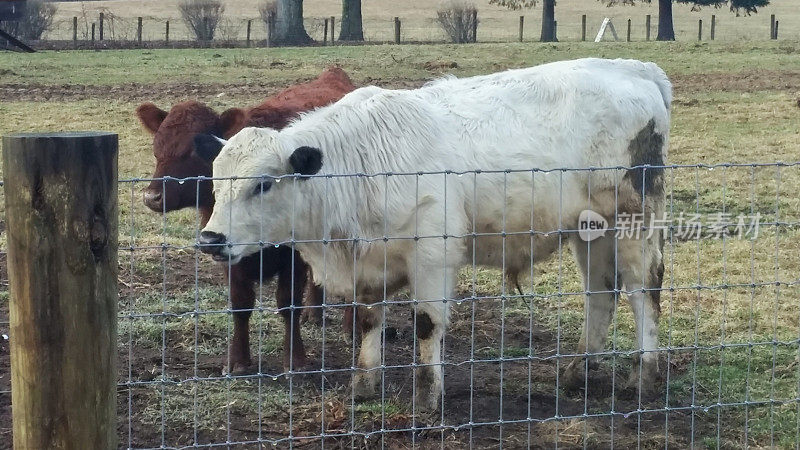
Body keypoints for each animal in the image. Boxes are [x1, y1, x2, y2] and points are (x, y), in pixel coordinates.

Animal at [136, 67, 354, 374]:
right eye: (157, 147)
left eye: (192, 150)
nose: (152, 196)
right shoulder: (225, 250)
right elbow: (240, 303)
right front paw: (238, 360)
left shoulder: (293, 257)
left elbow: (288, 302)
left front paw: (295, 359)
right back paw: (315, 312)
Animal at [198, 58, 668, 414]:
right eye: (215, 183)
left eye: (262, 184)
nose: (210, 239)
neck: (367, 162)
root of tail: (635, 69)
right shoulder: (367, 264)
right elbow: (368, 323)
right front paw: (363, 385)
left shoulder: (432, 258)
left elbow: (426, 325)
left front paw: (426, 396)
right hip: (591, 232)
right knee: (601, 295)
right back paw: (578, 371)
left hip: (635, 224)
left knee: (643, 294)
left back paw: (644, 375)